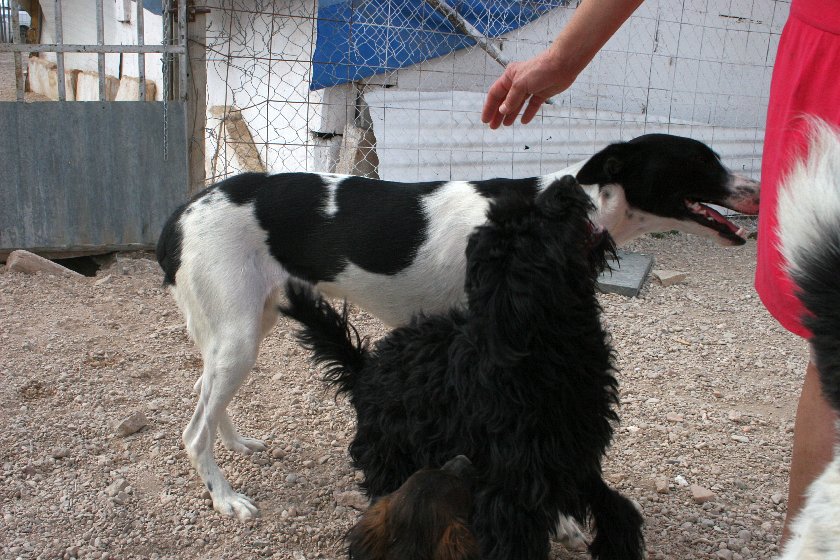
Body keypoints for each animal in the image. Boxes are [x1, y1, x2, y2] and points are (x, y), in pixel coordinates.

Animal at [155, 133, 760, 520]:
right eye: (702, 159)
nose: (757, 188)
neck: (561, 208)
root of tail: (183, 211)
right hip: (237, 335)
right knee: (192, 430)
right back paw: (224, 497)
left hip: (247, 326)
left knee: (207, 393)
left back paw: (236, 442)